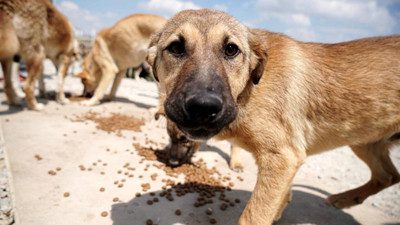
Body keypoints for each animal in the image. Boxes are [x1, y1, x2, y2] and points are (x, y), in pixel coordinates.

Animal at [148, 8, 400, 225]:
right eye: (176, 48)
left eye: (231, 49)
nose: (202, 106)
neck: (249, 89)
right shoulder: (287, 161)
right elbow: (281, 197)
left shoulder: (282, 157)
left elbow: (253, 216)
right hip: (365, 141)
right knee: (388, 176)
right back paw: (345, 198)